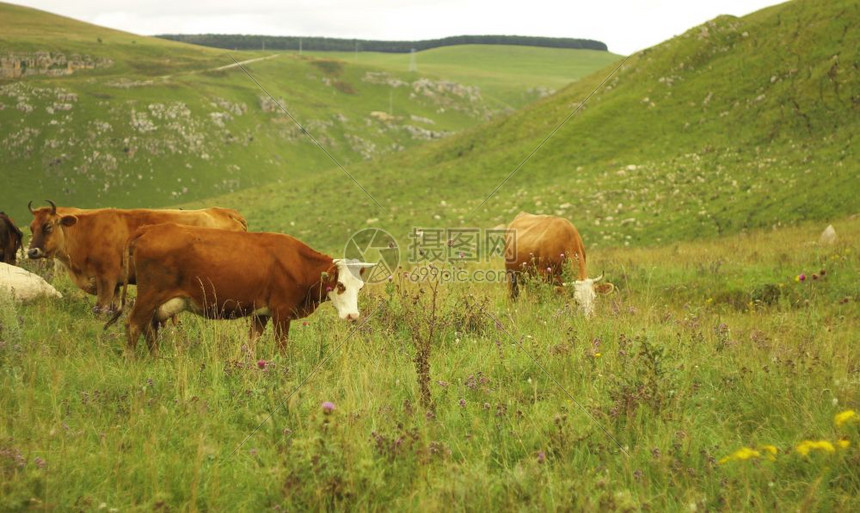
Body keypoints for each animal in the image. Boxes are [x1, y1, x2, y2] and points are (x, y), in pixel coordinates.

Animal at [27, 200, 249, 312]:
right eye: (31, 227)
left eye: (48, 226)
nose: (31, 251)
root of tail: (226, 212)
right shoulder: (115, 283)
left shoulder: (106, 278)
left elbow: (102, 307)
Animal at [107, 222, 372, 354]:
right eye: (340, 285)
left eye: (359, 288)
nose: (353, 315)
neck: (298, 263)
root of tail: (149, 229)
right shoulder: (281, 312)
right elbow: (282, 346)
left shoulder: (262, 313)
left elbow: (252, 342)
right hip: (149, 295)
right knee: (134, 325)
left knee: (148, 328)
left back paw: (157, 358)